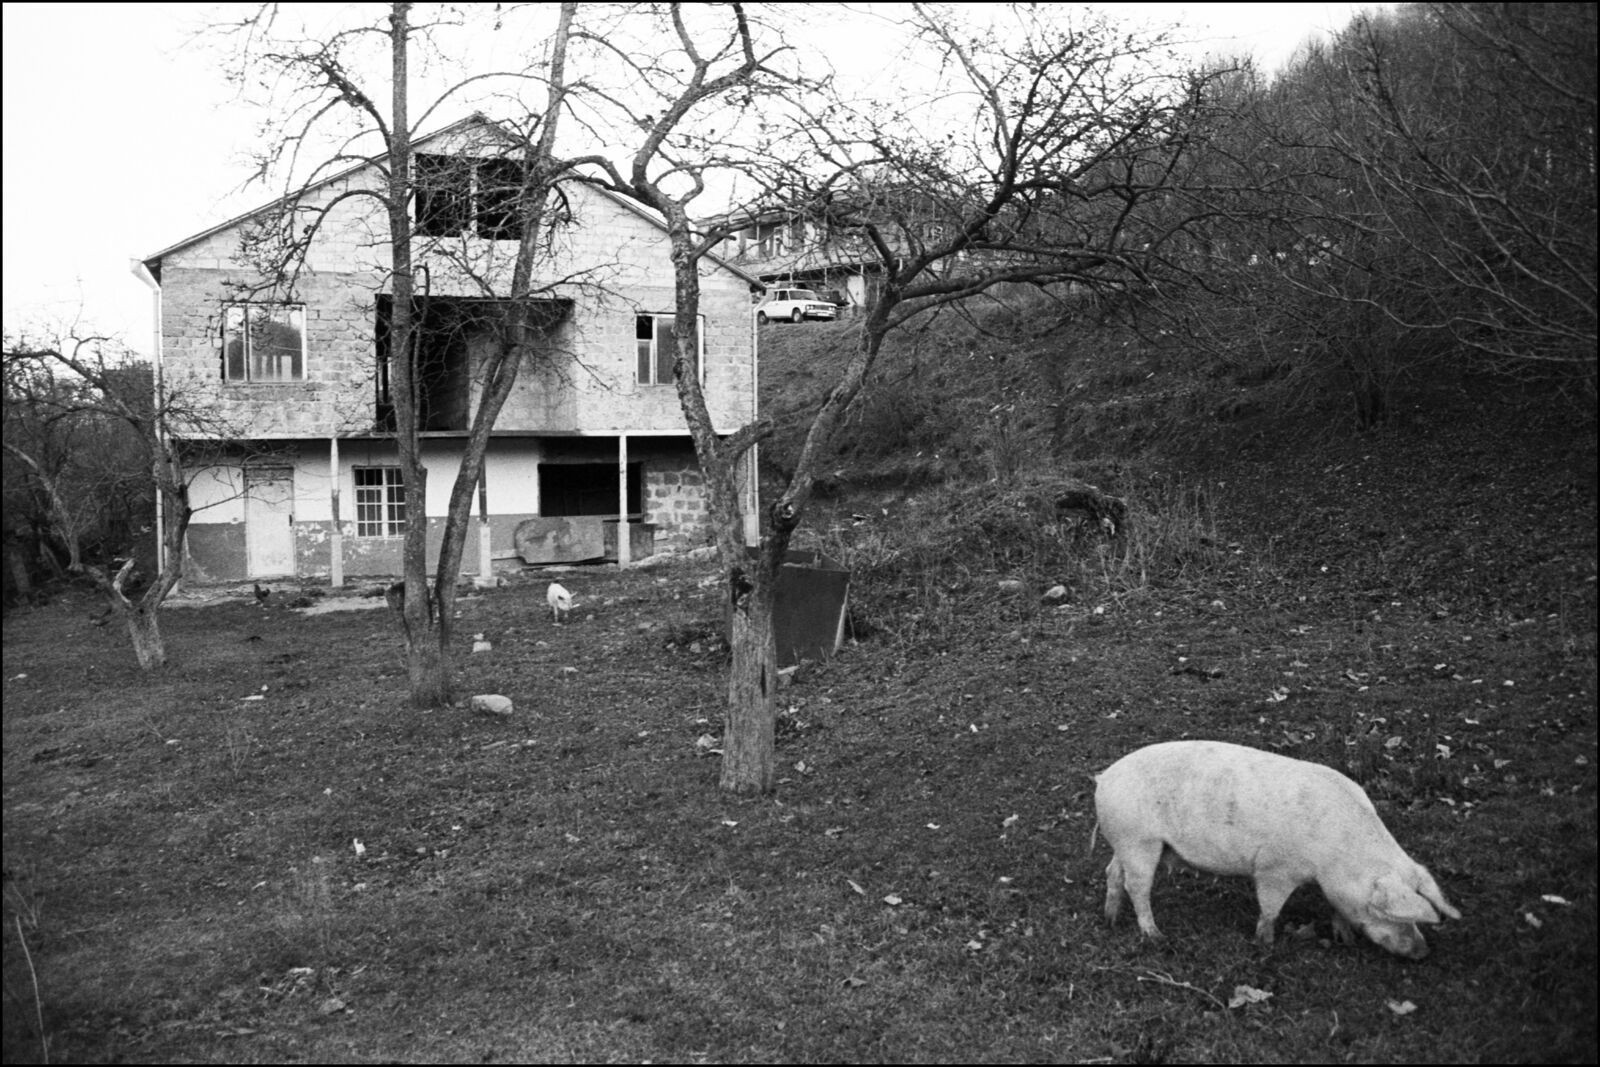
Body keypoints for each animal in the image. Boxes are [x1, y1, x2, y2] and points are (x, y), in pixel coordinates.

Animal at [1093, 740, 1460, 959]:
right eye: (1385, 912)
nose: (1422, 952)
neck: (1335, 855)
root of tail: (1104, 779)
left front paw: (1345, 939)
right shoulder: (1275, 869)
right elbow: (1270, 908)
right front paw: (1266, 944)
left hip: (1126, 842)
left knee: (1112, 873)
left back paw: (1110, 920)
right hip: (1139, 840)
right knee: (1137, 886)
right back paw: (1156, 936)